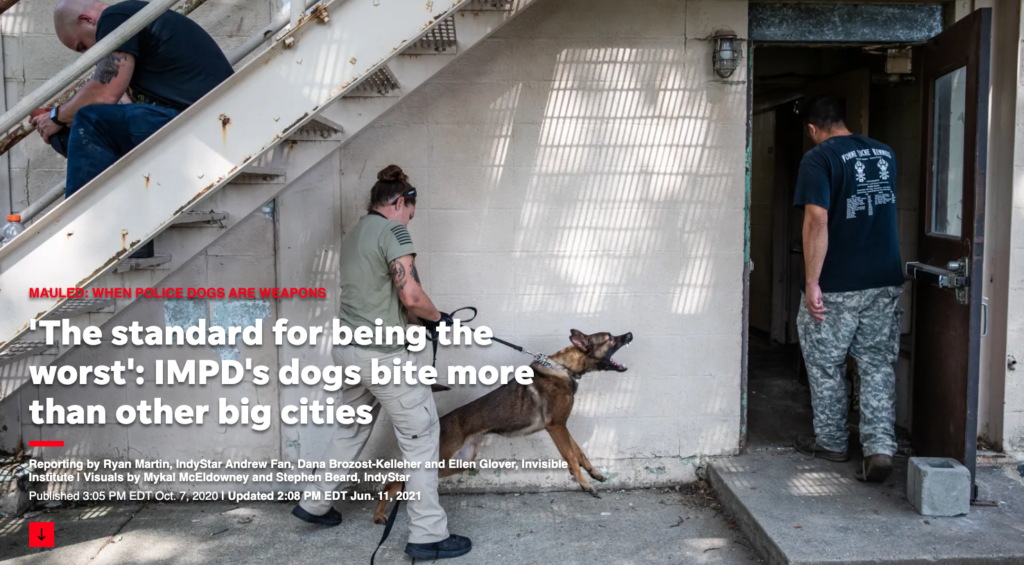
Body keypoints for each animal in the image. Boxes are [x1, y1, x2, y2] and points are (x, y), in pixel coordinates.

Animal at [376, 329, 630, 524]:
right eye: (609, 338)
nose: (629, 334)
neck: (563, 368)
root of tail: (441, 421)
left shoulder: (562, 426)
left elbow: (579, 452)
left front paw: (594, 473)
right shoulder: (556, 426)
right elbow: (571, 456)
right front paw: (585, 484)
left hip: (456, 463)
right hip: (439, 460)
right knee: (392, 483)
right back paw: (379, 515)